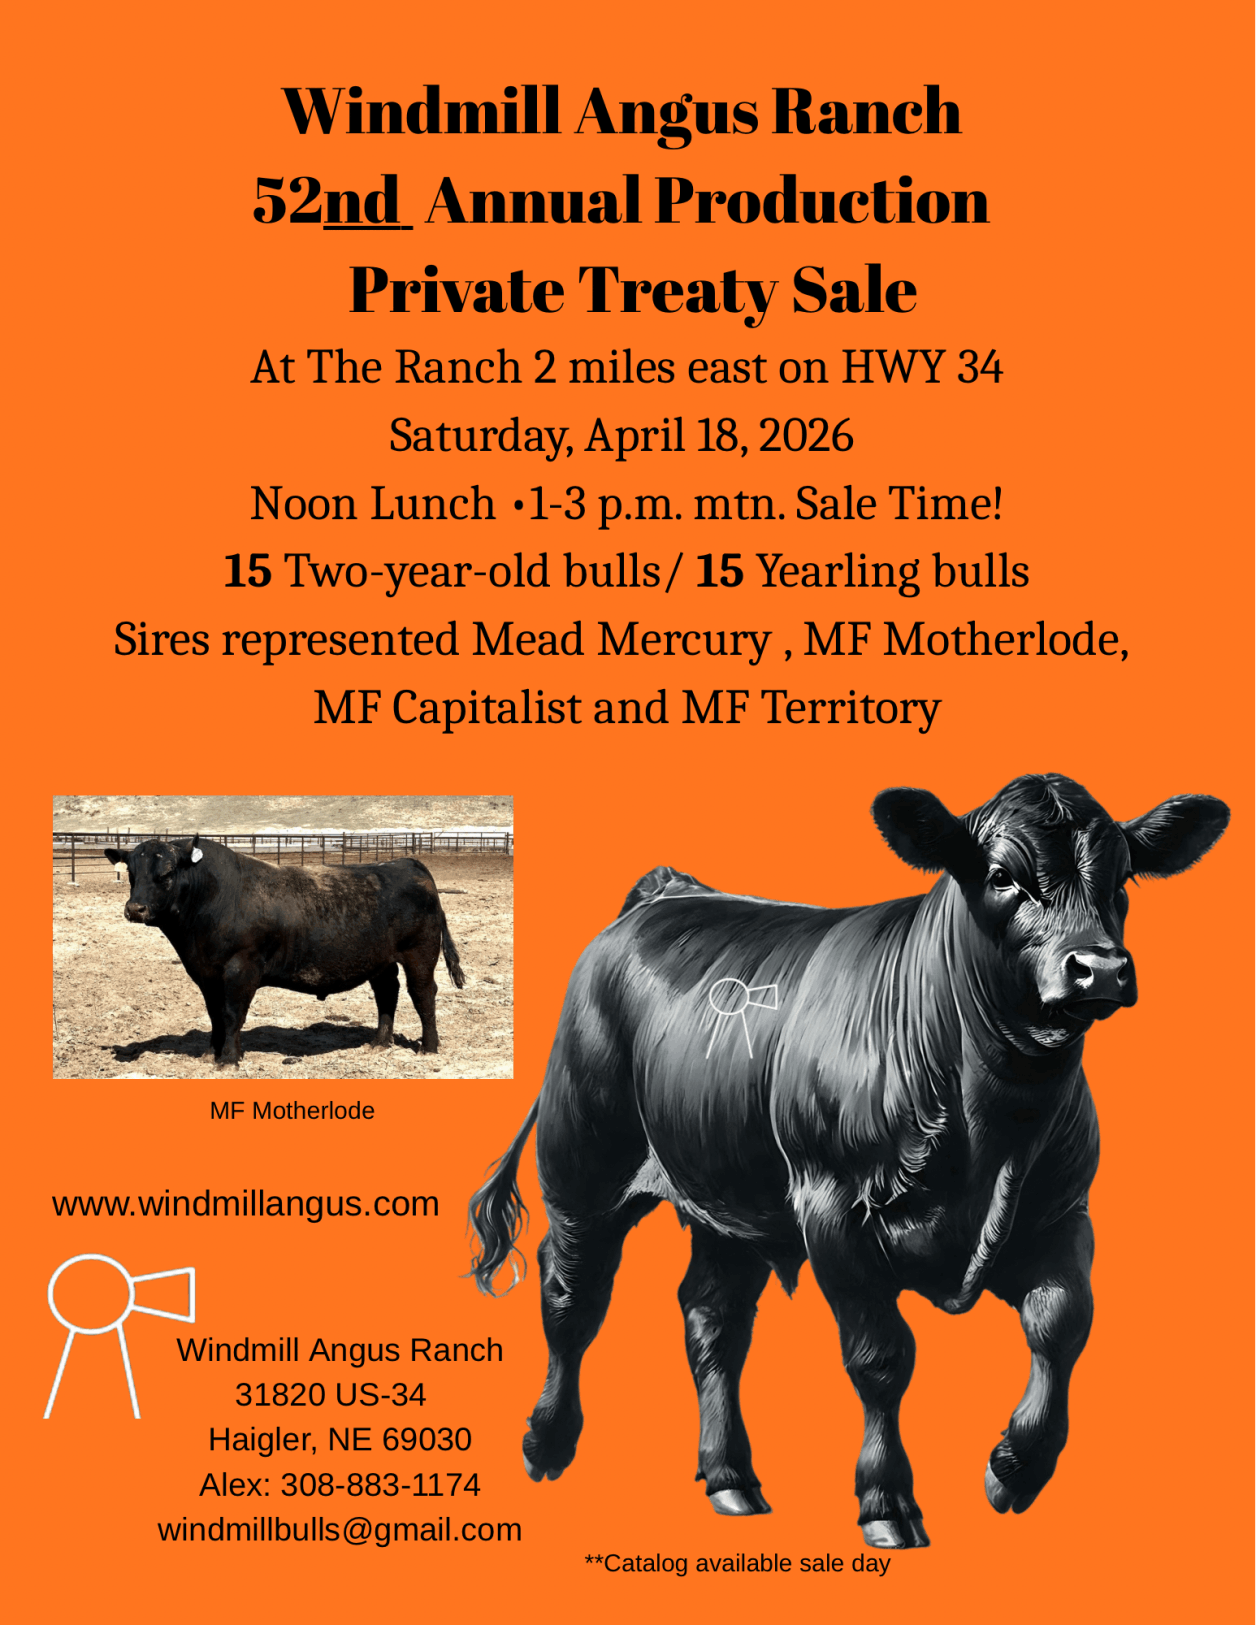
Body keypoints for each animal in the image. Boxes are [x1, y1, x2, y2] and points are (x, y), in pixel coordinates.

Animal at [103, 837, 465, 1065]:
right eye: (131, 873)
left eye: (166, 873)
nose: (135, 909)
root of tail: (409, 864)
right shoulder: (206, 974)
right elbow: (215, 1014)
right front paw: (211, 1053)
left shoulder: (241, 969)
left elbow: (232, 1013)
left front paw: (229, 1059)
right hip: (380, 960)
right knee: (387, 992)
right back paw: (379, 1042)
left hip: (420, 953)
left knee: (423, 994)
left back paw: (429, 1047)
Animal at [469, 775, 1228, 1548]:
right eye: (1001, 875)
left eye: (1123, 879)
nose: (1098, 967)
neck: (993, 1112)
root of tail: (668, 891)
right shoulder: (834, 1212)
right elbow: (882, 1358)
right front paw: (887, 1499)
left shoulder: (1062, 1212)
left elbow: (1062, 1321)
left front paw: (1016, 1466)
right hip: (583, 1165)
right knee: (572, 1297)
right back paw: (546, 1442)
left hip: (729, 1200)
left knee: (712, 1318)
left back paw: (730, 1475)